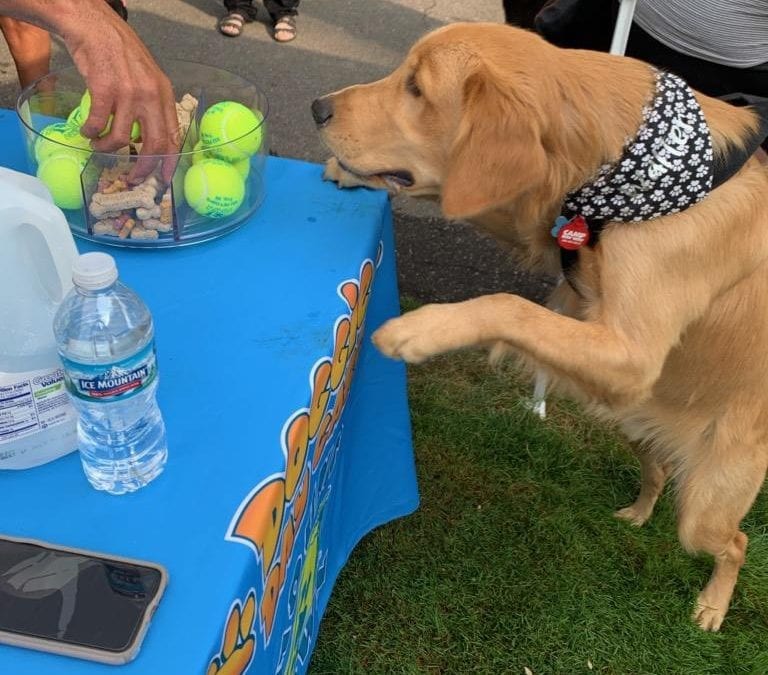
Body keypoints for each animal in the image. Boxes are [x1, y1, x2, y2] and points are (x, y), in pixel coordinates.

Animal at [310, 22, 768, 632]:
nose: (317, 107)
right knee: (658, 473)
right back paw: (639, 511)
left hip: (706, 504)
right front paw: (347, 172)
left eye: (416, 88)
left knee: (735, 543)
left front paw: (421, 329)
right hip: (632, 422)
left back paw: (713, 605)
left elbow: (510, 304)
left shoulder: (634, 353)